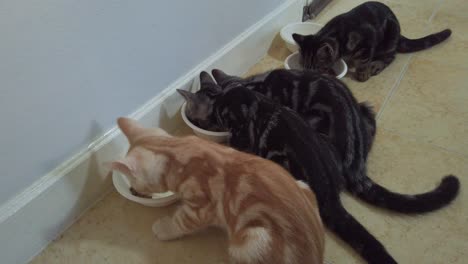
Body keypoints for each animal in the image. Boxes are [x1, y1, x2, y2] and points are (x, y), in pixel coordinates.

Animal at [109, 118, 326, 264]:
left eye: (135, 185)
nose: (133, 190)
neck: (178, 149)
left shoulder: (201, 209)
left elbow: (181, 222)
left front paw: (164, 228)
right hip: (303, 185)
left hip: (253, 240)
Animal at [294, 1, 452, 81]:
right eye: (305, 67)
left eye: (317, 68)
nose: (308, 75)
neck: (337, 33)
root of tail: (400, 32)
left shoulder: (367, 42)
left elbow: (363, 62)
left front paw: (362, 75)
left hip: (388, 40)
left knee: (391, 56)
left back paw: (376, 65)